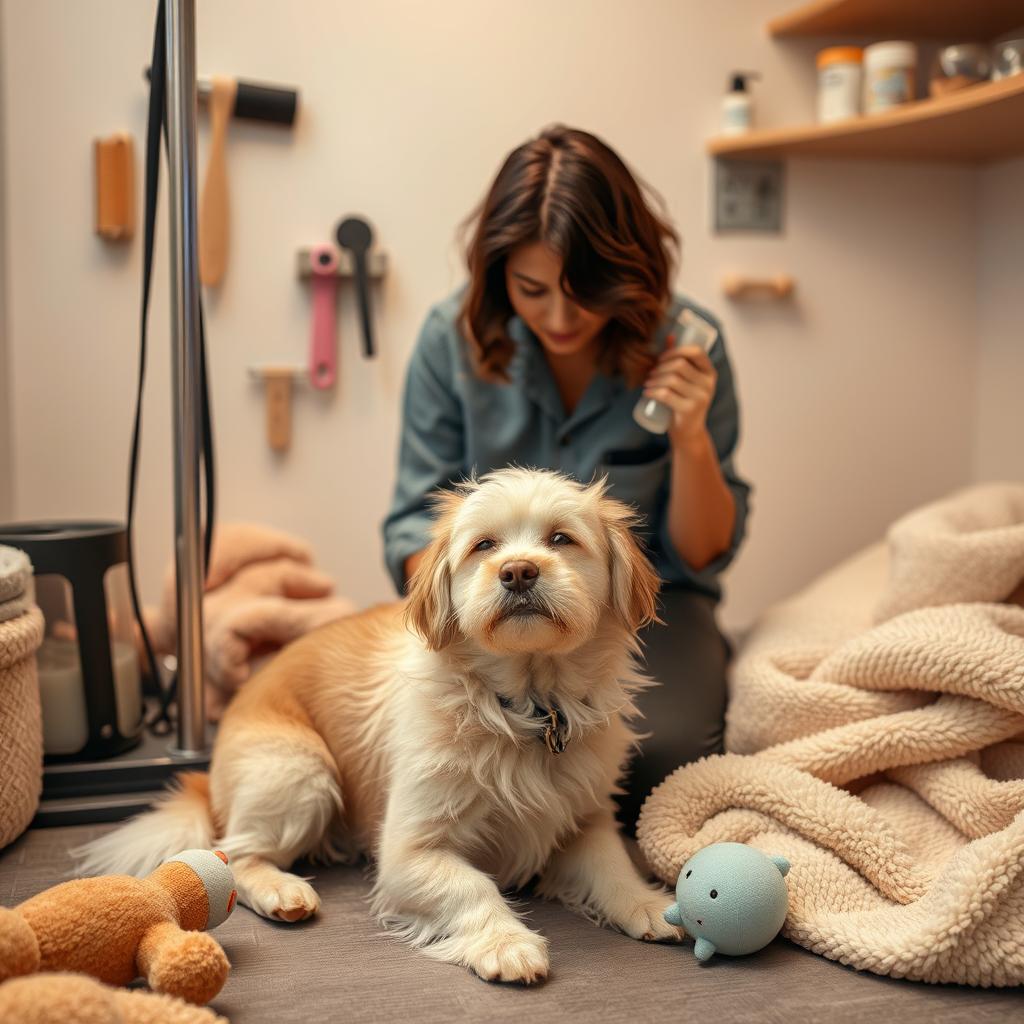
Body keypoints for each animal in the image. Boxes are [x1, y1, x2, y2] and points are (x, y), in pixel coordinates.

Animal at [81, 468, 679, 978]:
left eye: (561, 539)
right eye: (484, 546)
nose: (517, 572)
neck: (526, 708)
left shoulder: (586, 821)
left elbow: (613, 867)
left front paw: (649, 905)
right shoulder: (407, 853)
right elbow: (473, 886)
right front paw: (506, 943)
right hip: (302, 772)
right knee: (234, 854)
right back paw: (282, 890)